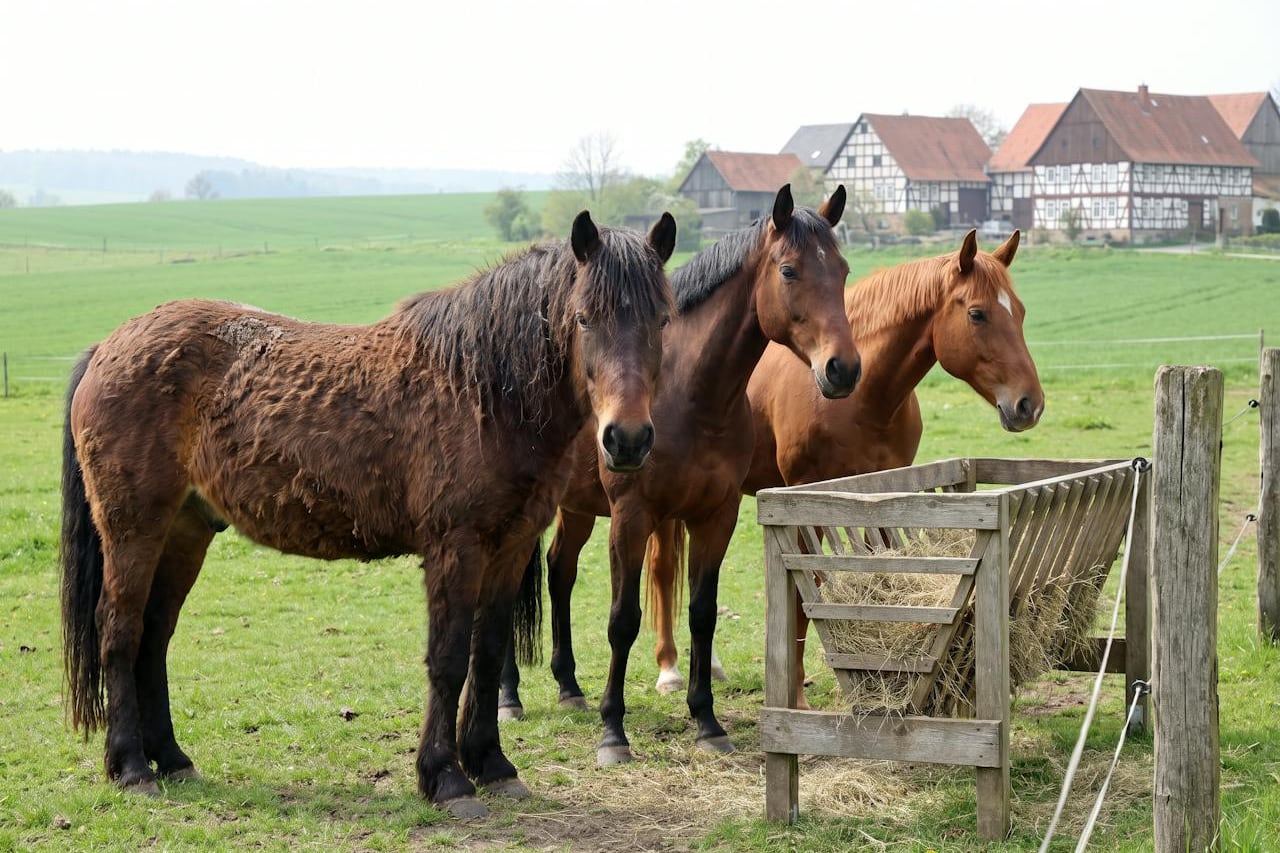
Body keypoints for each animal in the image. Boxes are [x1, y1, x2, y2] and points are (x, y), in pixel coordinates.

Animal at [60, 211, 676, 819]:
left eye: (663, 320)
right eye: (583, 318)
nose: (626, 440)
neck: (482, 389)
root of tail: (108, 345)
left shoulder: (512, 543)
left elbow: (486, 653)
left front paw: (494, 766)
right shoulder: (456, 546)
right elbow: (448, 658)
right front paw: (446, 778)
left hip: (186, 531)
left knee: (155, 637)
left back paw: (172, 759)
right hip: (134, 529)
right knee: (119, 631)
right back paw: (132, 768)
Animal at [497, 185, 860, 764]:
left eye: (843, 270)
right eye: (789, 270)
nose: (843, 369)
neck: (689, 397)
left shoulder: (716, 516)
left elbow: (702, 613)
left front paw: (707, 721)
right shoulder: (632, 517)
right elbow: (623, 621)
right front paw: (613, 732)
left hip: (576, 508)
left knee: (559, 571)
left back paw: (569, 687)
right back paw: (509, 697)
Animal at [647, 229, 1043, 702]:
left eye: (1020, 311)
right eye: (978, 314)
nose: (1029, 404)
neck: (863, 399)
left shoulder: (883, 493)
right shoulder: (804, 500)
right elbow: (806, 591)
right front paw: (797, 692)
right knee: (662, 568)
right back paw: (669, 670)